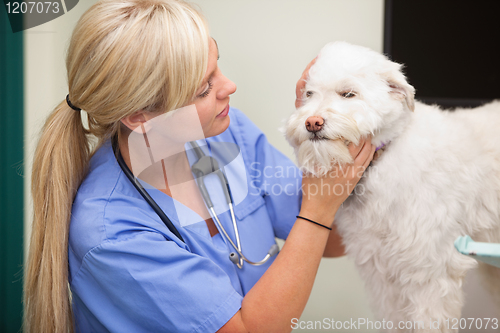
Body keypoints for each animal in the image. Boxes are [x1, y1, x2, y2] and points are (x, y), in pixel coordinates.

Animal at [286, 41, 500, 332]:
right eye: (309, 94)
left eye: (348, 94)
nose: (312, 122)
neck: (382, 160)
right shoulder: (382, 275)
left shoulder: (431, 275)